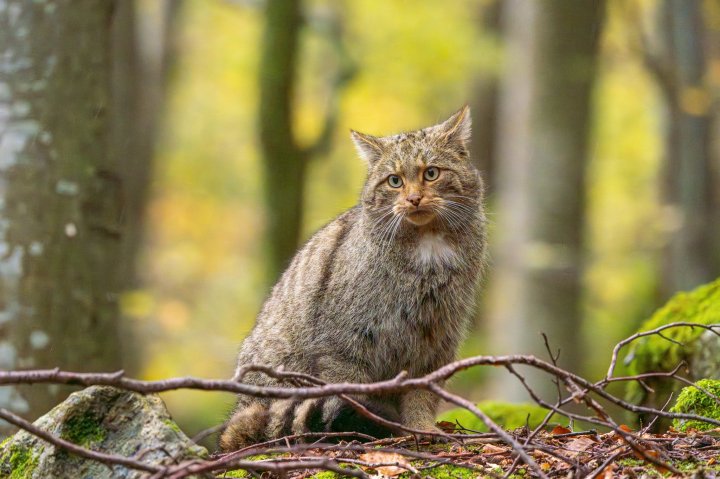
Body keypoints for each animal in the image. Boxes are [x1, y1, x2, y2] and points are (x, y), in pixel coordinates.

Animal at [219, 107, 486, 452]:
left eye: (431, 173)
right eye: (395, 181)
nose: (413, 199)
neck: (428, 247)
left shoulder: (435, 338)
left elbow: (421, 394)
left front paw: (421, 429)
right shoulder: (345, 343)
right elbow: (348, 392)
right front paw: (363, 429)